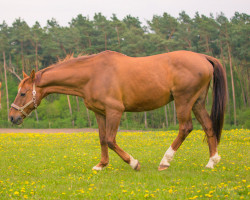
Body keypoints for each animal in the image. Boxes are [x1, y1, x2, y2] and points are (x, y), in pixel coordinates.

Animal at [8, 50, 227, 171]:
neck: (93, 74)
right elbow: (102, 139)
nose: (12, 117)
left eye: (23, 93)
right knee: (208, 126)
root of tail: (203, 57)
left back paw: (165, 161)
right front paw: (101, 165)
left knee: (185, 128)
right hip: (197, 102)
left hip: (183, 101)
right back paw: (212, 162)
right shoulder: (100, 112)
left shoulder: (115, 111)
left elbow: (111, 140)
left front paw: (133, 163)